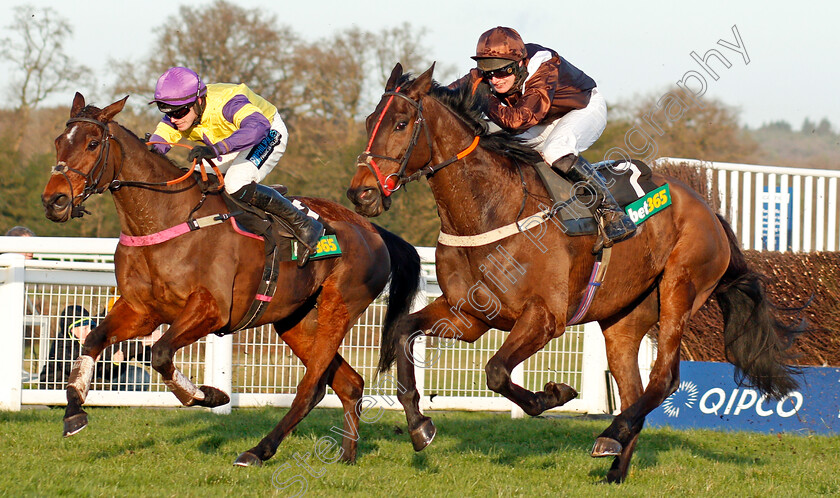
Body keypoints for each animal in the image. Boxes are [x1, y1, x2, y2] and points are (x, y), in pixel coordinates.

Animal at [41, 92, 420, 466]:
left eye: (92, 143)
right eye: (59, 141)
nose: (54, 200)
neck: (165, 220)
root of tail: (372, 230)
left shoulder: (212, 310)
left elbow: (160, 354)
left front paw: (208, 395)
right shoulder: (141, 310)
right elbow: (93, 341)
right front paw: (74, 412)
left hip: (337, 310)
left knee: (311, 386)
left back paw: (258, 450)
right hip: (296, 320)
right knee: (348, 383)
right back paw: (346, 455)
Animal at [346, 64, 800, 484]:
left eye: (401, 123)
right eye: (369, 121)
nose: (361, 193)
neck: (491, 209)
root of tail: (709, 210)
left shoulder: (546, 317)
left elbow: (496, 371)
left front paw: (554, 393)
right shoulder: (469, 315)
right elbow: (404, 330)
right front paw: (419, 425)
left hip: (681, 288)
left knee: (665, 378)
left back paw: (609, 435)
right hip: (623, 318)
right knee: (633, 390)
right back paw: (615, 464)